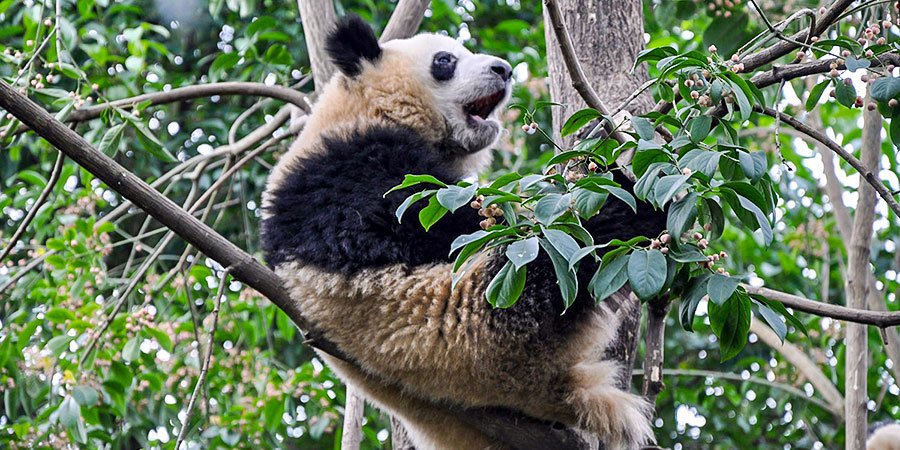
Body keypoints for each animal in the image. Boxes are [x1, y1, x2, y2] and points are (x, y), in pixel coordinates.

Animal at [261, 14, 664, 450]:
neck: (359, 108)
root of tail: (549, 391)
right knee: (561, 255)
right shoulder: (345, 169)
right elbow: (423, 222)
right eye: (445, 61)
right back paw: (633, 203)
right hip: (488, 326)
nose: (503, 70)